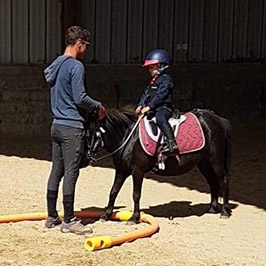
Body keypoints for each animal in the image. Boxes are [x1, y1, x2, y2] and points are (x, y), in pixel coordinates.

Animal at [89, 107, 231, 223]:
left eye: (91, 131)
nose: (88, 155)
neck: (128, 138)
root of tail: (219, 119)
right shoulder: (121, 170)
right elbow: (113, 191)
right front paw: (106, 215)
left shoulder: (138, 171)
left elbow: (136, 194)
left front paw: (134, 218)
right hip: (204, 163)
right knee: (213, 183)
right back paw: (212, 208)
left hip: (215, 161)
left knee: (223, 182)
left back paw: (224, 212)